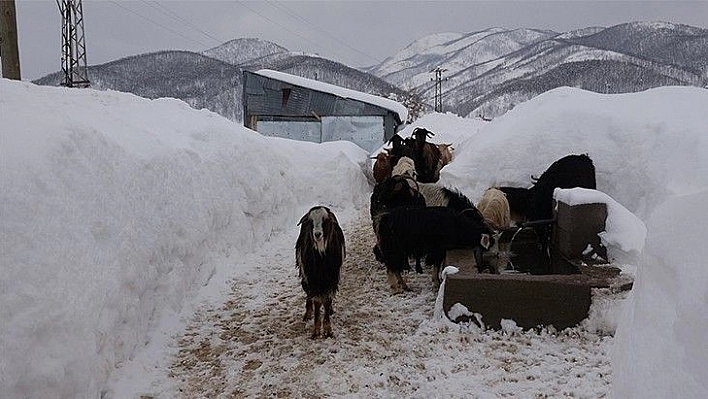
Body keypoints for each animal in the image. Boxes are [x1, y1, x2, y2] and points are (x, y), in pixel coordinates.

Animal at [296, 208, 346, 340]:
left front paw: (328, 330)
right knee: (309, 294)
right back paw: (308, 313)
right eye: (311, 221)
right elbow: (317, 302)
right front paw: (316, 331)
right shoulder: (312, 278)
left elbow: (327, 301)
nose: (317, 234)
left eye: (325, 220)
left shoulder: (332, 278)